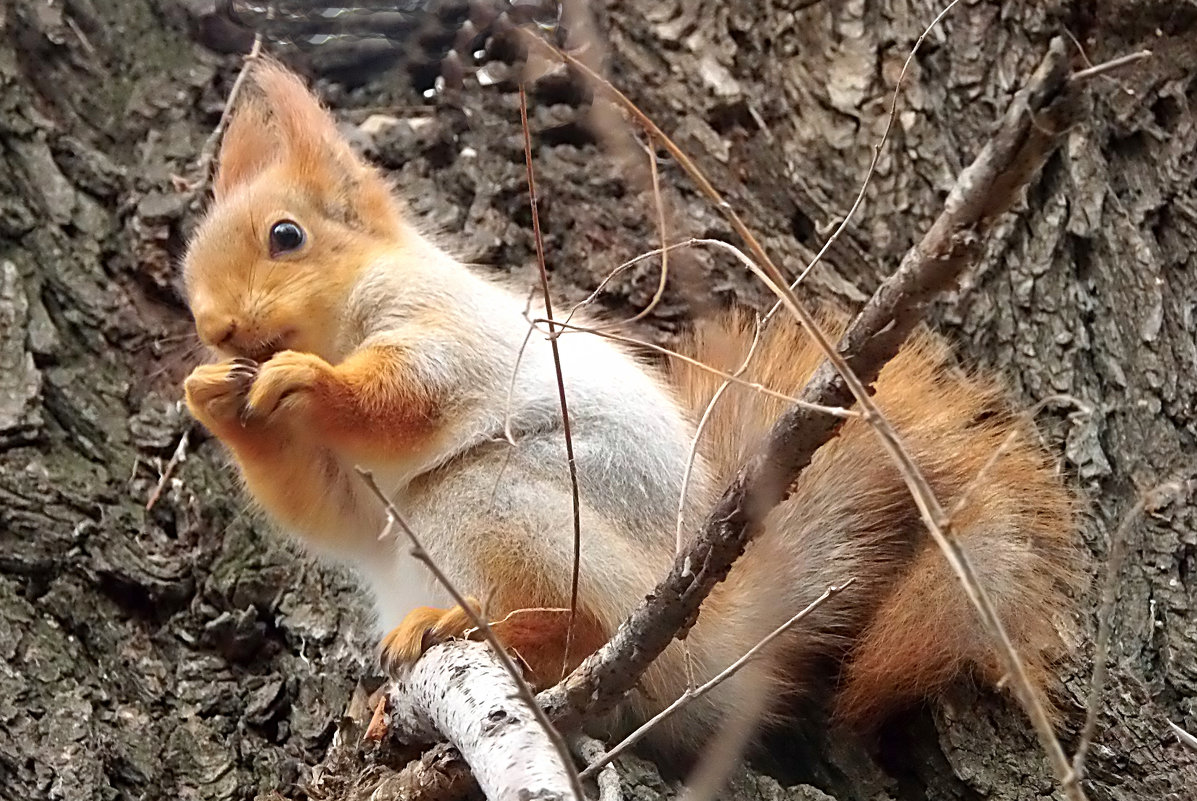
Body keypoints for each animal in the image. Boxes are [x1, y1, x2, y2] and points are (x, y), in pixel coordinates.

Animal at [179, 59, 1086, 761]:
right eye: (189, 272)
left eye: (287, 236)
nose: (215, 329)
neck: (342, 320)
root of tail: (705, 641)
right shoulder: (337, 478)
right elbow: (322, 507)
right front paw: (212, 394)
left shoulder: (447, 332)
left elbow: (400, 402)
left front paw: (307, 381)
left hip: (505, 510)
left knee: (570, 628)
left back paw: (484, 629)